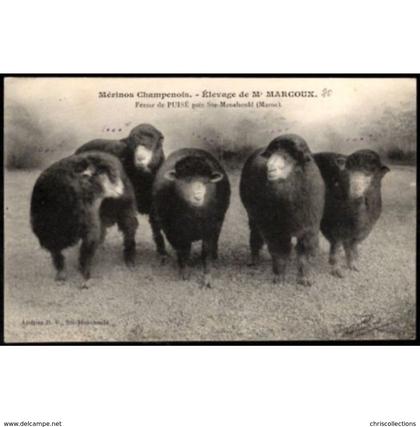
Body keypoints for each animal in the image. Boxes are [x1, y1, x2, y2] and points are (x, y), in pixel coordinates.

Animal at [74, 123, 167, 258]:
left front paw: (162, 252)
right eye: (133, 141)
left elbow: (155, 222)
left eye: (151, 139)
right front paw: (130, 255)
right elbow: (130, 223)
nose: (140, 156)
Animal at [151, 149, 230, 290]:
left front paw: (207, 278)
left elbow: (206, 253)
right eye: (187, 180)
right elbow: (183, 251)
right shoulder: (173, 231)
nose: (198, 195)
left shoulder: (211, 228)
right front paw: (184, 272)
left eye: (206, 181)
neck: (194, 215)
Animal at [240, 134, 324, 288]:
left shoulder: (309, 228)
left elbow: (304, 254)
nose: (270, 168)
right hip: (253, 217)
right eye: (272, 154)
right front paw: (279, 277)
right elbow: (279, 252)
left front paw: (304, 278)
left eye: (287, 157)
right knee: (255, 236)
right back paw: (254, 259)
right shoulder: (274, 229)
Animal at [312, 150, 390, 278]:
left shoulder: (364, 231)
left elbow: (351, 248)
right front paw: (338, 272)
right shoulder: (331, 227)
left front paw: (354, 267)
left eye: (372, 171)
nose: (356, 195)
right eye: (347, 172)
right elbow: (336, 248)